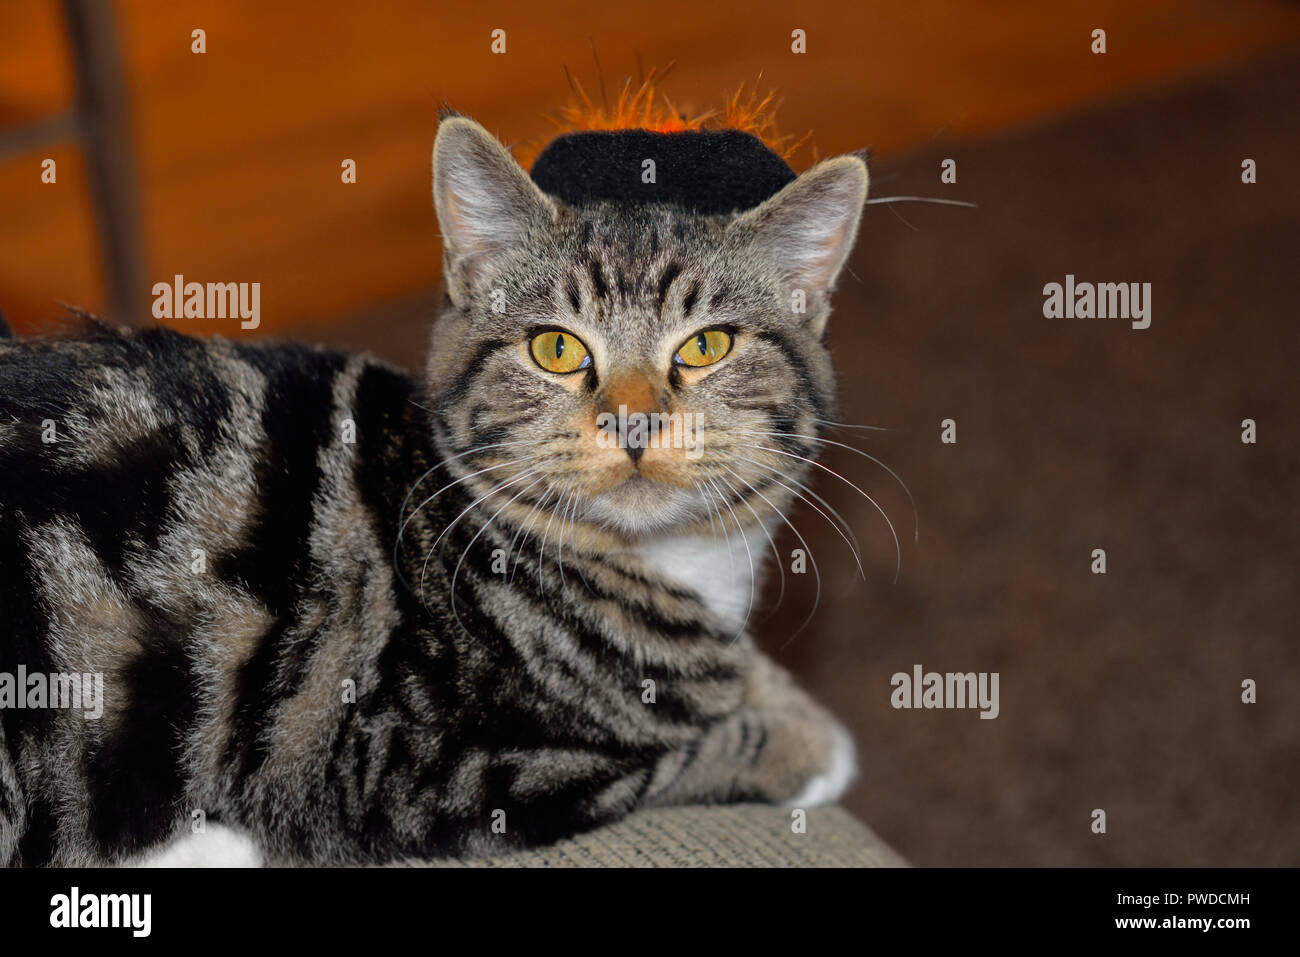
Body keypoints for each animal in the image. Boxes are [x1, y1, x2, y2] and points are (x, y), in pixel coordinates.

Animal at [2, 115, 873, 863]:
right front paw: (805, 744)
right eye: (557, 348)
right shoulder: (423, 769)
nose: (633, 421)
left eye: (708, 344)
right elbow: (680, 754)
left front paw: (781, 694)